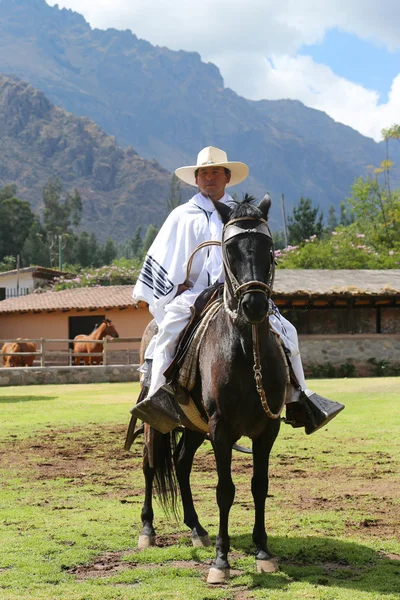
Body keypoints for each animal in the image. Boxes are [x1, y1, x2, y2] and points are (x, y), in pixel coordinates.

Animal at [131, 197, 288, 580]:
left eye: (268, 249)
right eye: (230, 249)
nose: (254, 305)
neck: (246, 352)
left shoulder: (267, 429)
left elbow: (259, 486)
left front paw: (263, 551)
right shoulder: (221, 429)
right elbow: (225, 490)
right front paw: (221, 559)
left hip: (192, 426)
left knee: (181, 463)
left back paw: (196, 528)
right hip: (156, 422)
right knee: (151, 464)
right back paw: (148, 530)